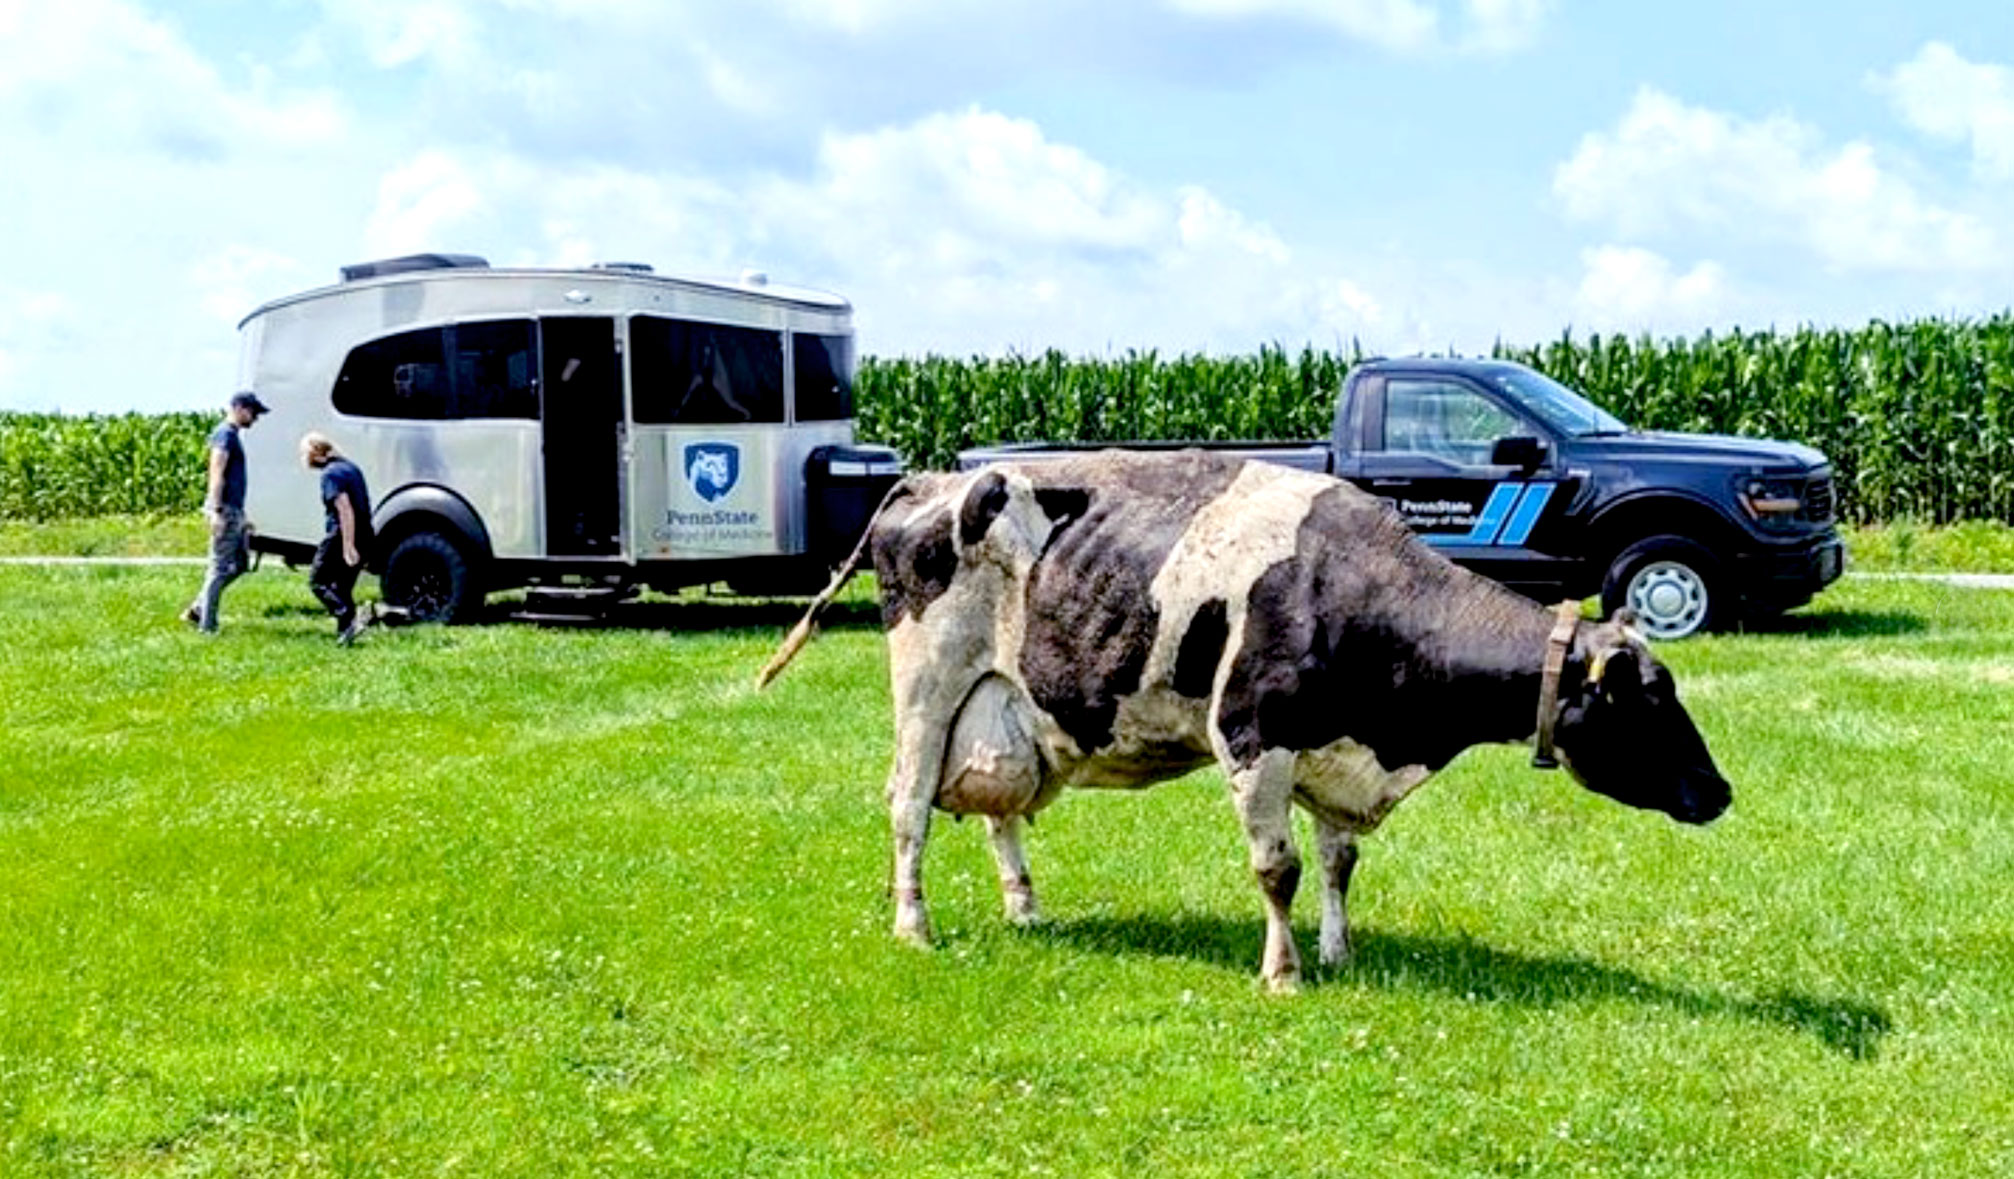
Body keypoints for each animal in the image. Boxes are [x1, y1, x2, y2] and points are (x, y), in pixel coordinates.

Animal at [759, 450, 1730, 992]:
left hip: (1011, 703)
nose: (1720, 790)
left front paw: (1339, 953)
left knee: (1002, 810)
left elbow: (1339, 862)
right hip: (928, 687)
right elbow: (1280, 868)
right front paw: (1284, 972)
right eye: (1649, 699)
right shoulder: (1255, 739)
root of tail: (939, 478)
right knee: (908, 806)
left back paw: (1026, 907)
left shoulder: (1332, 748)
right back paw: (914, 925)